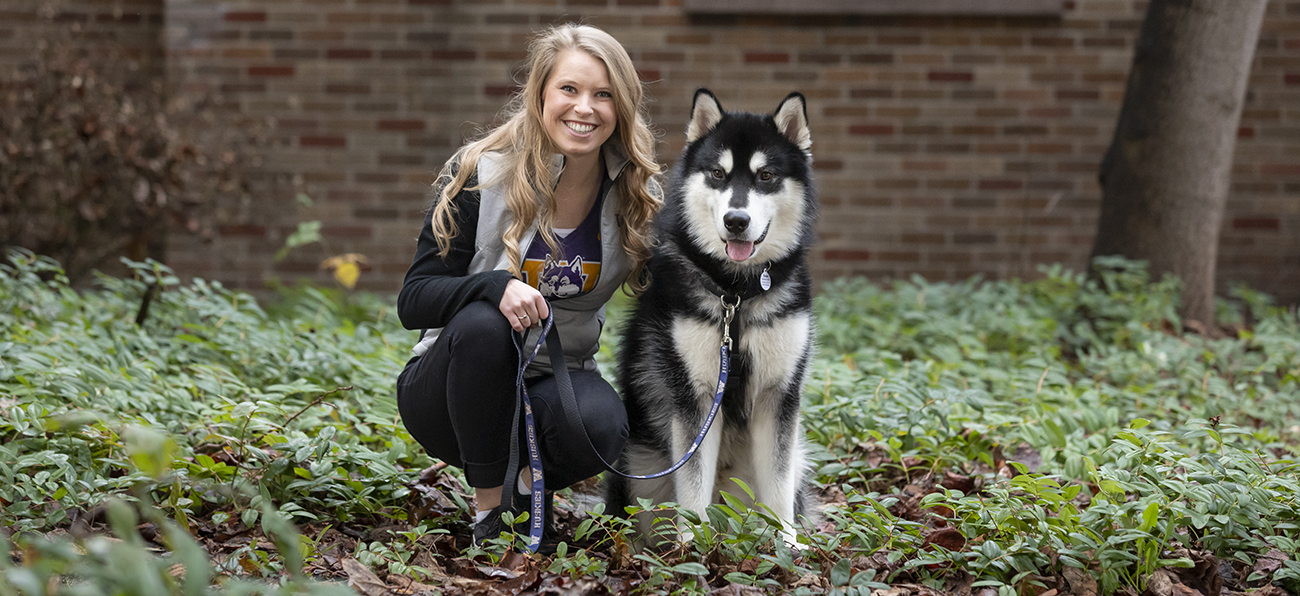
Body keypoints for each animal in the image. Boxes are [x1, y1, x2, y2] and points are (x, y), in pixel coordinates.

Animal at [605, 89, 811, 549]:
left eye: (766, 176)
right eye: (717, 173)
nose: (737, 221)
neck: (736, 292)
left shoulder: (778, 395)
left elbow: (778, 483)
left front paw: (787, 544)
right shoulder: (694, 396)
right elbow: (693, 479)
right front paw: (692, 546)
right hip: (637, 467)